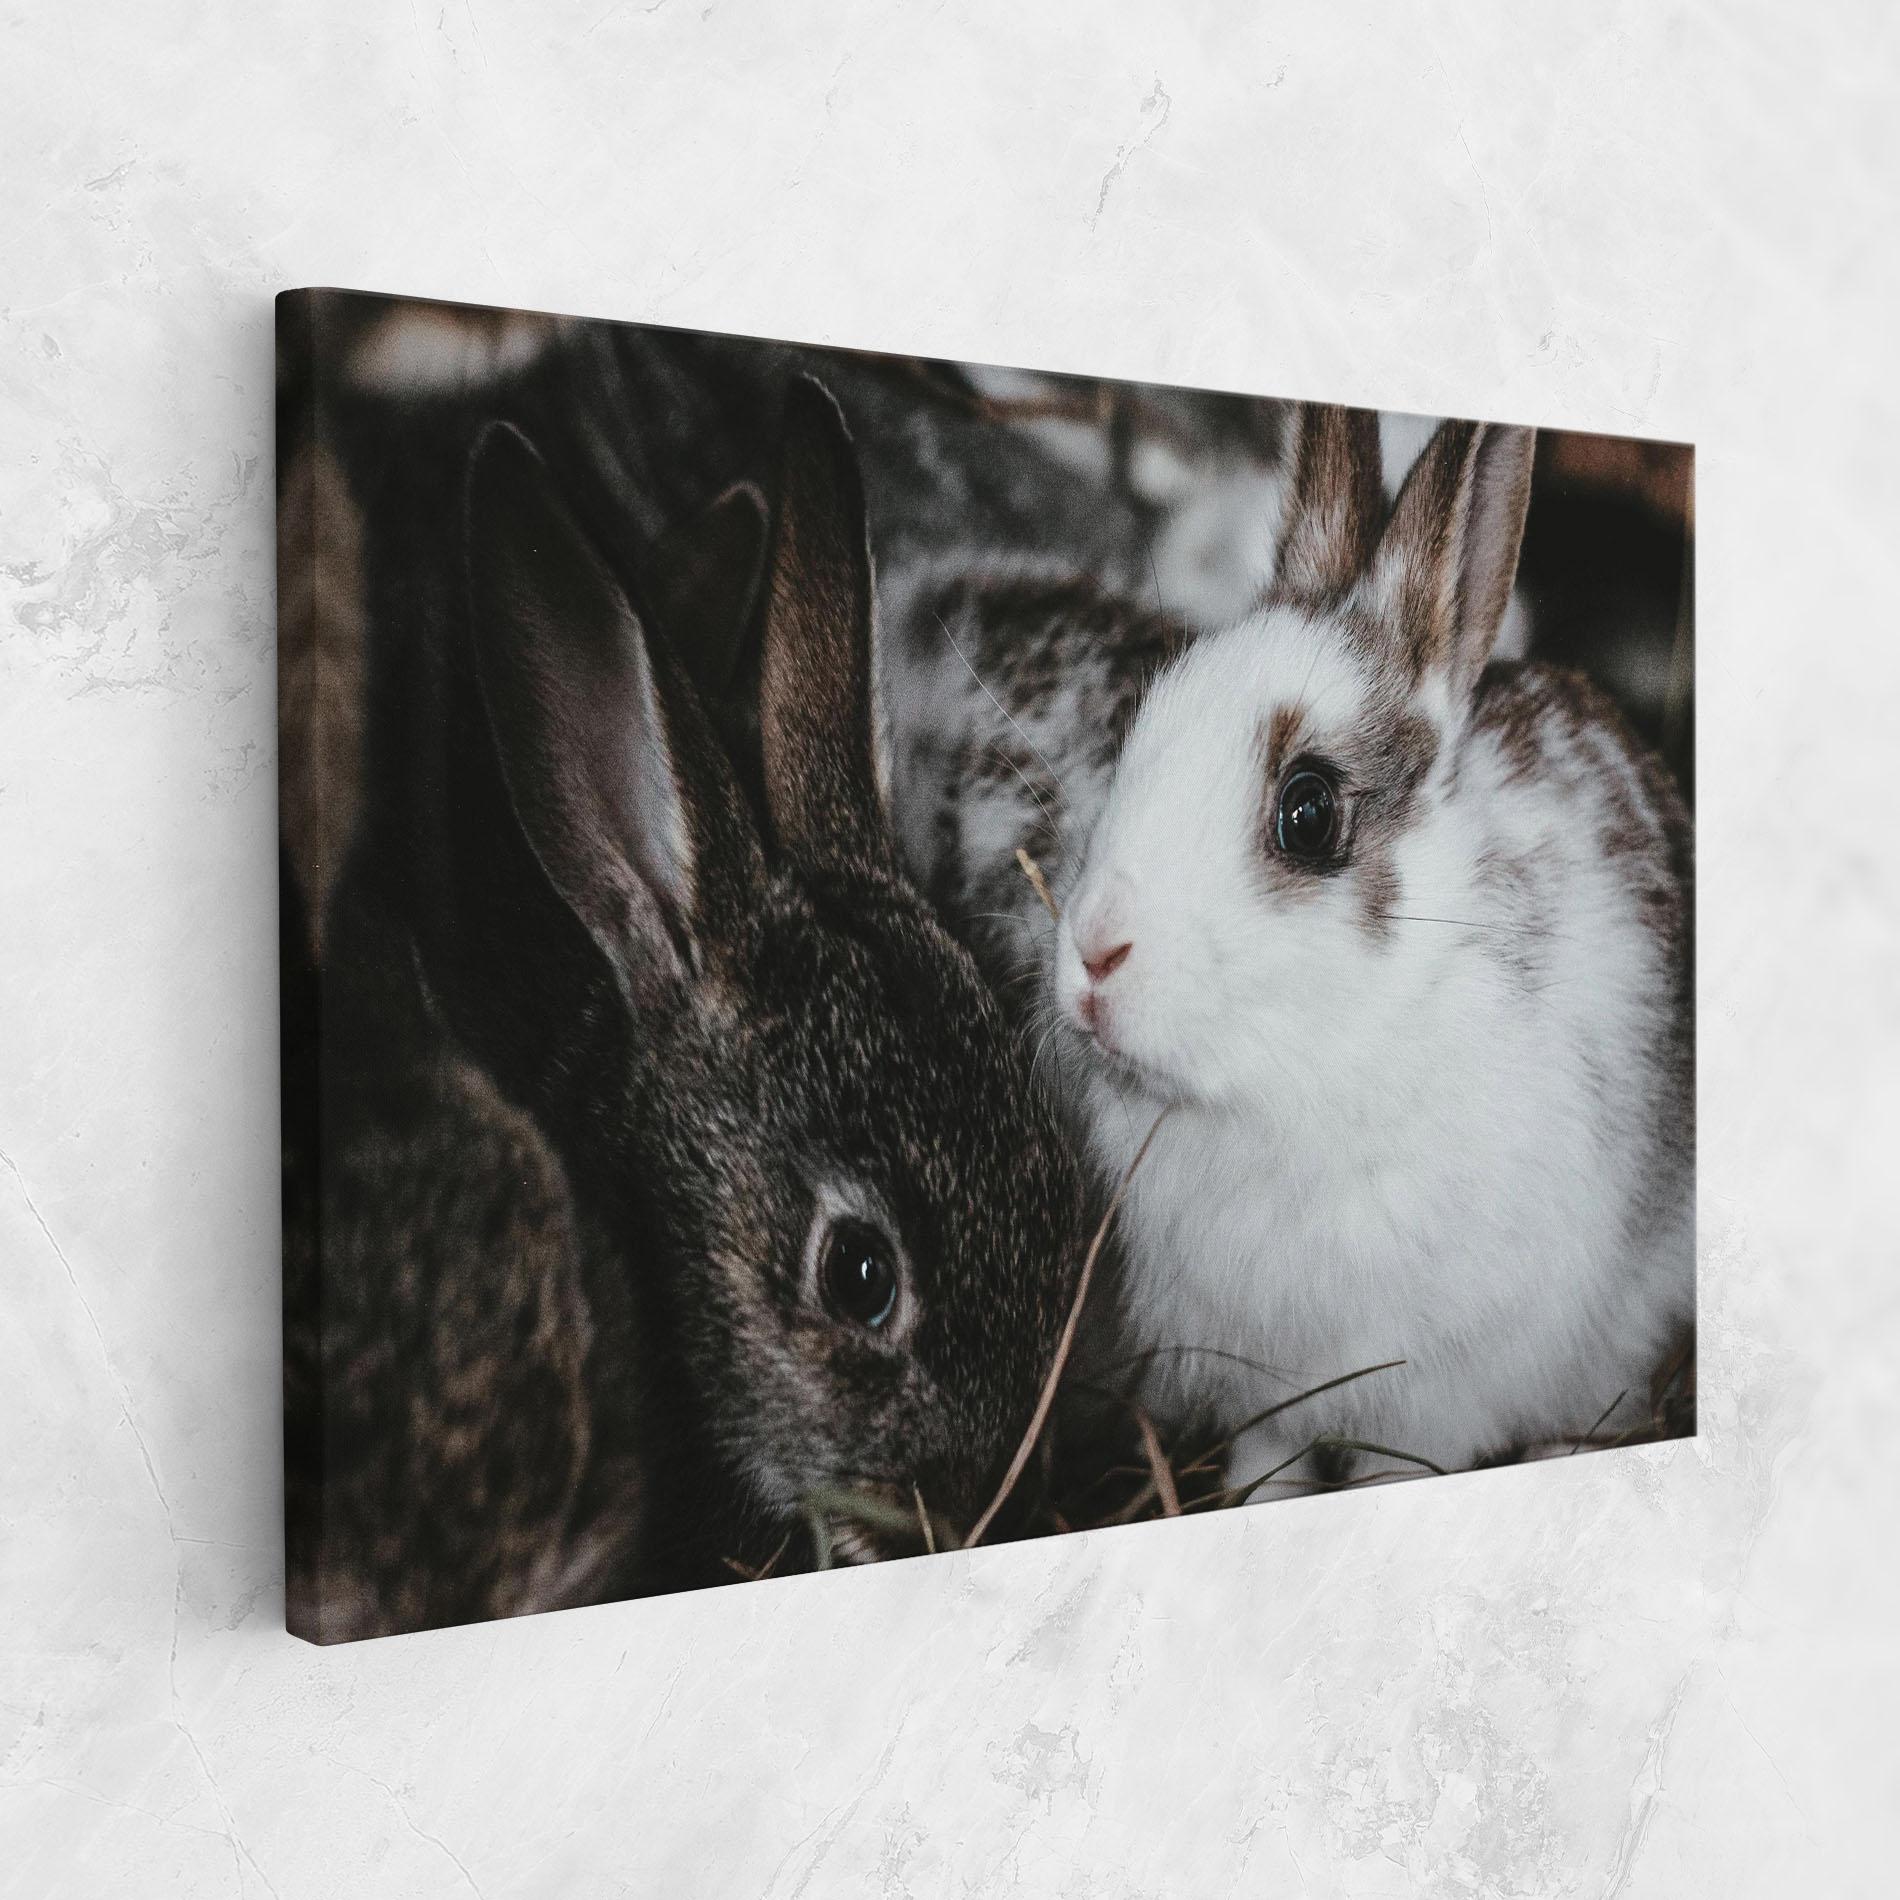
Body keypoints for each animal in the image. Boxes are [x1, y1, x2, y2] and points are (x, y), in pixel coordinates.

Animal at [888, 401, 1693, 1490]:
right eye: (1140, 729)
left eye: (1307, 813)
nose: (1093, 957)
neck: (1296, 1079)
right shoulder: (1262, 1388)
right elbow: (1268, 1459)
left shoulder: (1431, 1399)